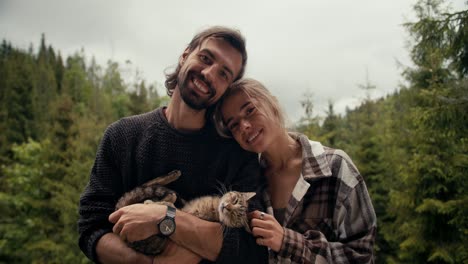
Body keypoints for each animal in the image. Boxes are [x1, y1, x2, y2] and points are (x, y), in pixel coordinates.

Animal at [116, 170, 256, 255]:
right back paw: (173, 175)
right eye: (235, 200)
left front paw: (154, 204)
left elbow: (171, 206)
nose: (226, 207)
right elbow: (170, 199)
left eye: (235, 216)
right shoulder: (184, 203)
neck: (213, 207)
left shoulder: (187, 213)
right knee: (147, 185)